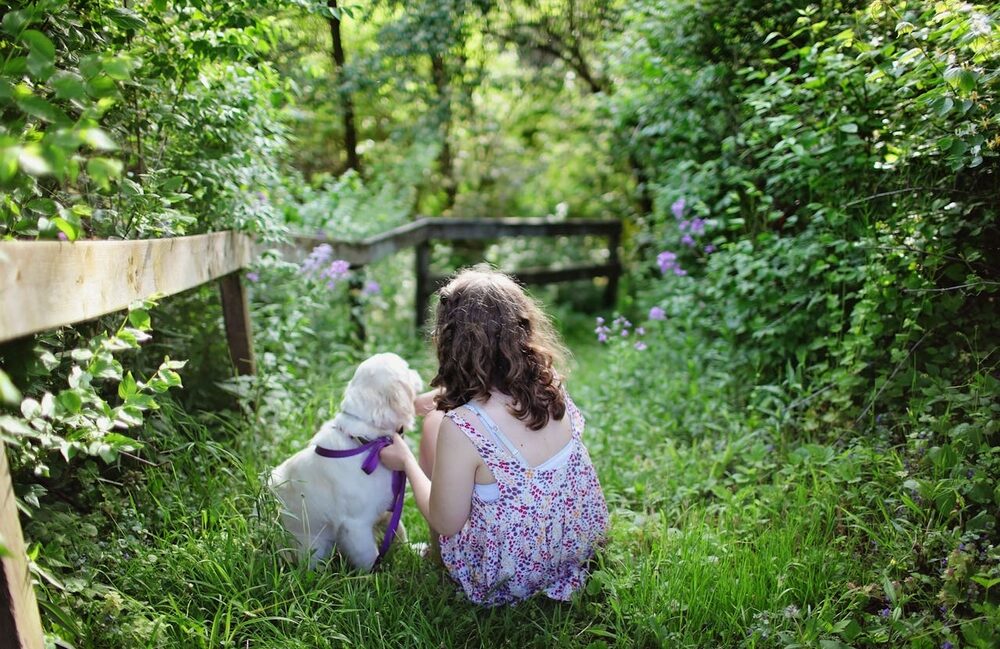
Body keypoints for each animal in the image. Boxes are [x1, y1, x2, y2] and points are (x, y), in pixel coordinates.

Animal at [268, 352, 420, 568]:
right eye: (406, 369)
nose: (417, 372)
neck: (367, 442)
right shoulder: (355, 526)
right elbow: (369, 557)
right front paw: (378, 574)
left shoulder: (387, 509)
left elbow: (399, 531)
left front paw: (414, 551)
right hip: (314, 547)